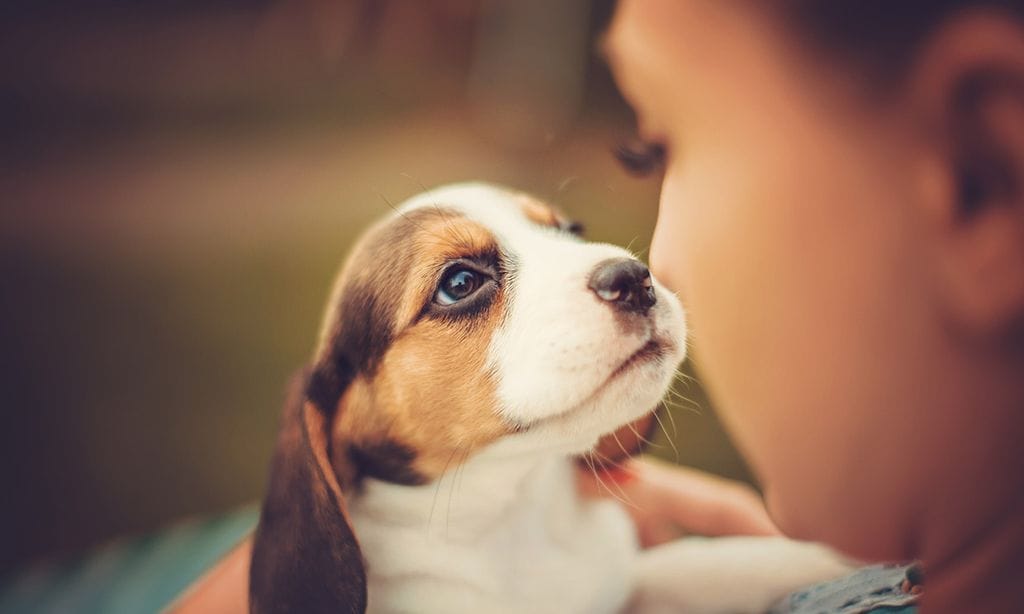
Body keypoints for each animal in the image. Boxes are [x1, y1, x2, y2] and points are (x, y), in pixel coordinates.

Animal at [245, 183, 847, 614]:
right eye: (459, 283)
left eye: (571, 230)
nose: (636, 277)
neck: (510, 513)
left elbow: (711, 566)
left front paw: (822, 558)